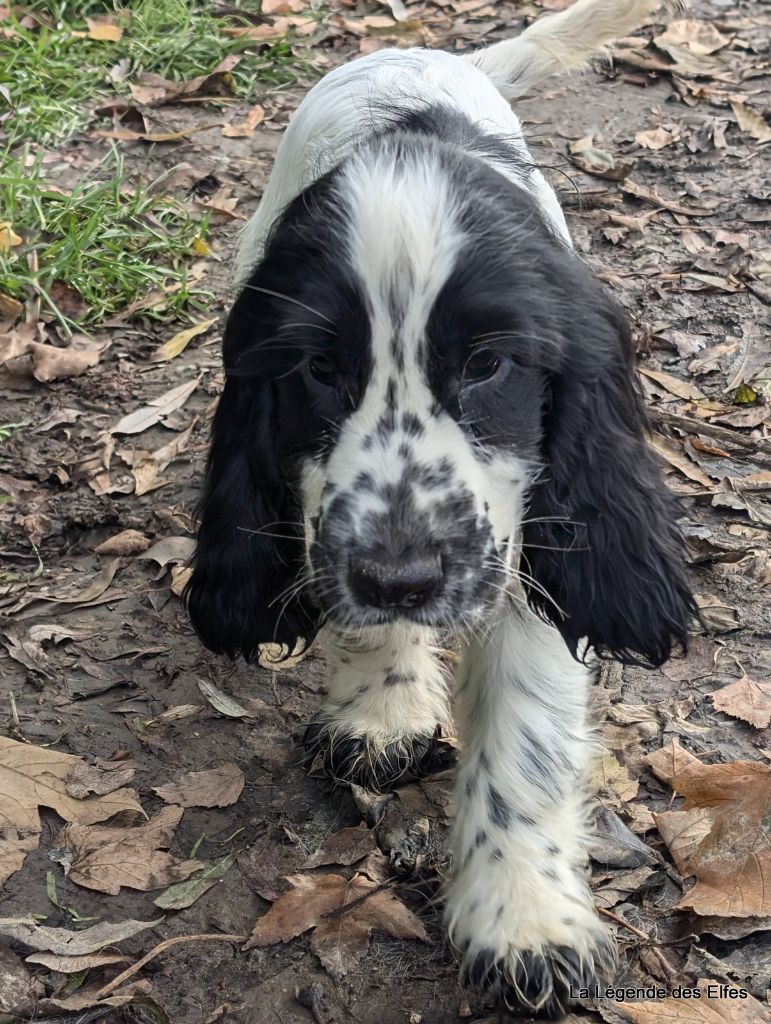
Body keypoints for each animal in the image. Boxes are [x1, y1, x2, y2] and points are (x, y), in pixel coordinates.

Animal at [185, 2, 692, 1015]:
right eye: (317, 366)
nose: (403, 578)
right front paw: (384, 709)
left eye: (489, 363)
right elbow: (350, 591)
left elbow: (524, 728)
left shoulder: (530, 534)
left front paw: (524, 919)